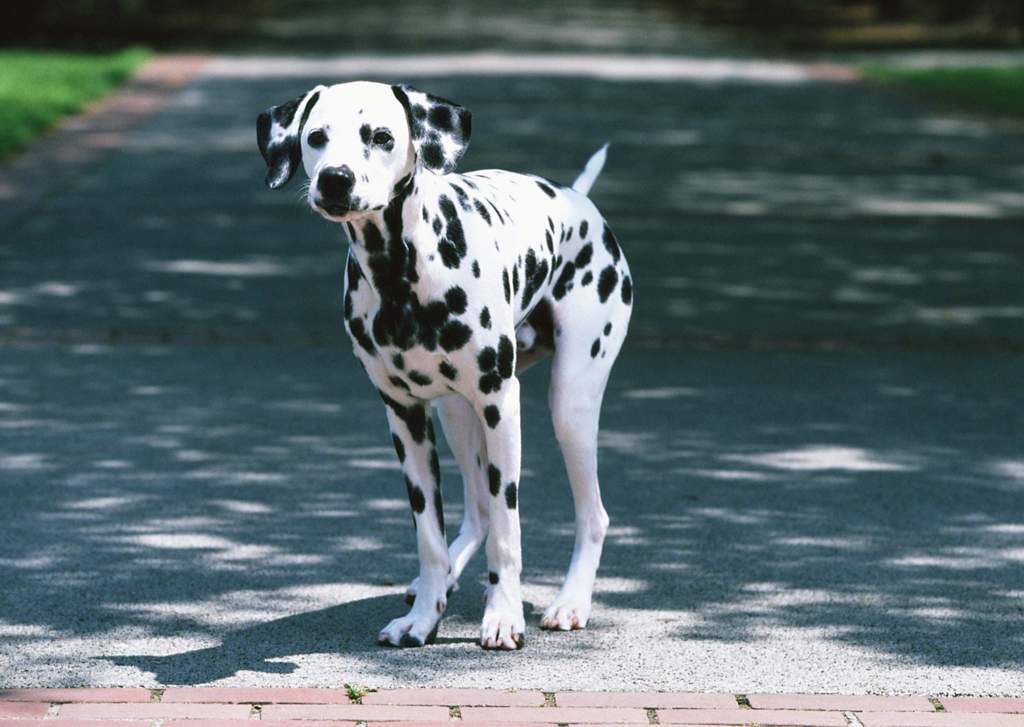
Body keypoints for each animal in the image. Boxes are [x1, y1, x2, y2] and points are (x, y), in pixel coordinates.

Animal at [256, 82, 630, 651]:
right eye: (315, 136)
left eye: (381, 136)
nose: (335, 179)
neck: (400, 275)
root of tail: (576, 198)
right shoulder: (405, 418)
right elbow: (430, 533)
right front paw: (423, 617)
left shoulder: (501, 406)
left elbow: (508, 531)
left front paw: (503, 616)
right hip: (458, 417)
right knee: (477, 510)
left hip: (570, 406)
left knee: (591, 514)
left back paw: (571, 602)